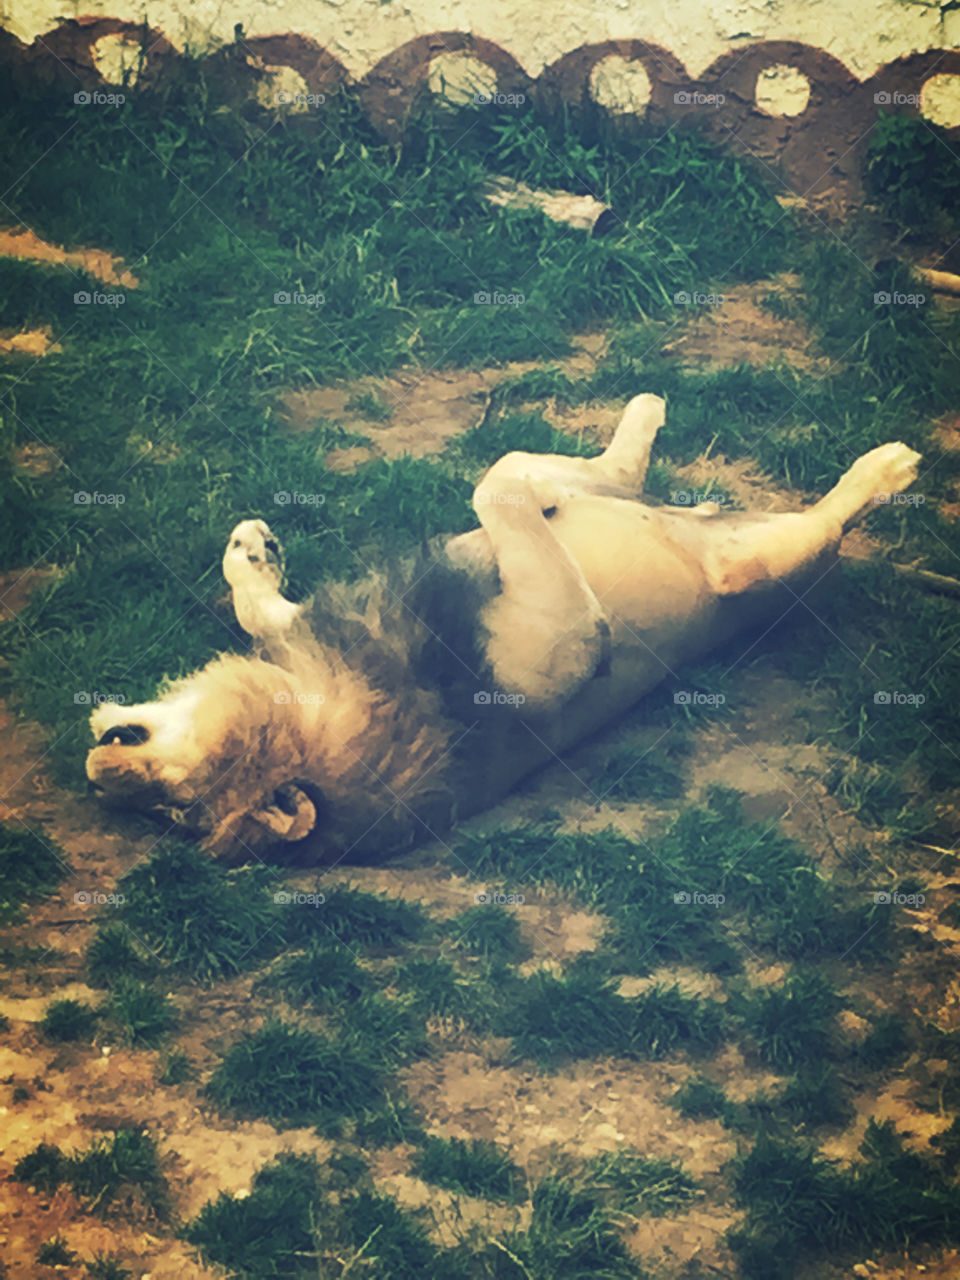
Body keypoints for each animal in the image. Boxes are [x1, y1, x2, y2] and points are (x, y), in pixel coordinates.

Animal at [86, 394, 921, 863]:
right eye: (174, 806)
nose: (97, 770)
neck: (328, 705)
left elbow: (259, 607)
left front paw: (251, 550)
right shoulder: (568, 643)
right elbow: (501, 481)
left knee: (621, 483)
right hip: (758, 566)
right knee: (824, 522)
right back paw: (891, 464)